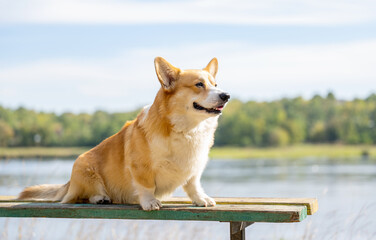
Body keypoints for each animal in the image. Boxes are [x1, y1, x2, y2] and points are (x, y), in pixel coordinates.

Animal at [19, 57, 231, 211]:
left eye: (215, 84)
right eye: (199, 84)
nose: (226, 95)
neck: (188, 129)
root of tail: (69, 183)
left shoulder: (194, 168)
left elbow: (193, 185)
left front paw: (201, 199)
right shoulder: (140, 167)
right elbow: (146, 187)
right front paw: (150, 202)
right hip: (83, 167)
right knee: (81, 196)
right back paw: (100, 198)